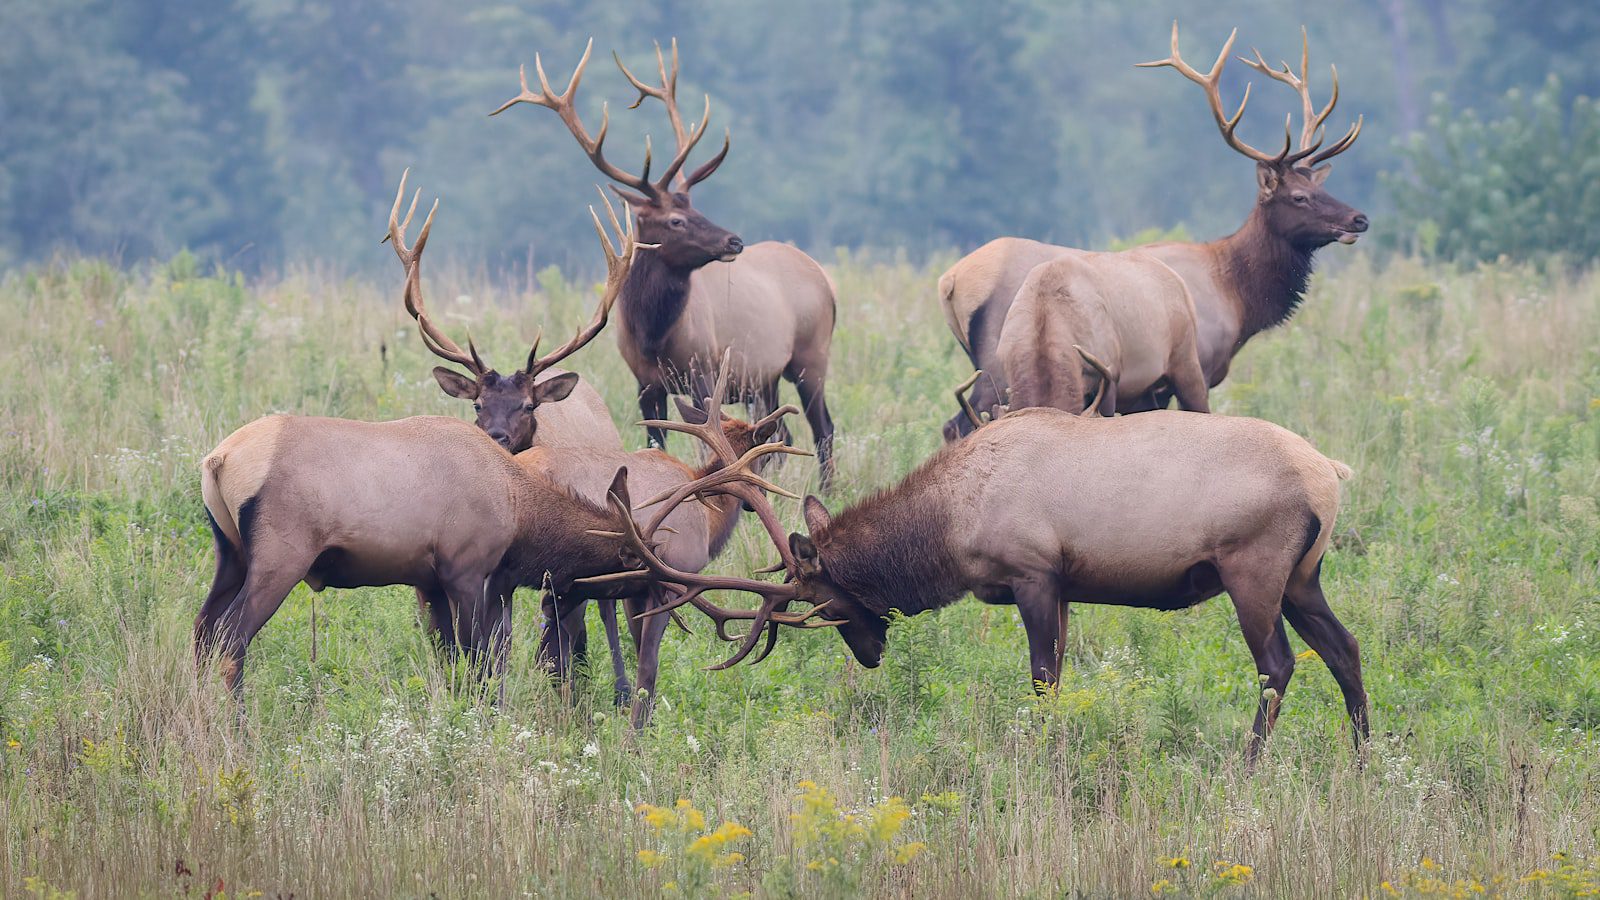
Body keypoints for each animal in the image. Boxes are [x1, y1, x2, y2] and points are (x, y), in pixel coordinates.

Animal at [489, 40, 844, 490]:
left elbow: (705, 441)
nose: (734, 240)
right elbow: (657, 440)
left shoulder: (705, 369)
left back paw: (829, 490)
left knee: (823, 428)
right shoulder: (645, 383)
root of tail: (825, 281)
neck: (654, 334)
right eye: (676, 219)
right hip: (765, 379)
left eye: (695, 206)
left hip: (812, 355)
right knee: (783, 433)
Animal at [595, 403, 1369, 752]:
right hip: (1304, 576)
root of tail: (1331, 474)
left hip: (1253, 568)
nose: (871, 654)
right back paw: (1363, 758)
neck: (950, 527)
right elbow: (1060, 672)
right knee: (1345, 650)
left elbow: (1042, 677)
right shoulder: (1064, 584)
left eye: (824, 601)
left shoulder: (1033, 571)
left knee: (1278, 665)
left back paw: (1247, 764)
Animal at [940, 24, 1369, 438]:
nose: (1359, 219)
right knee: (957, 422)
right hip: (994, 367)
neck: (1236, 295)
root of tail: (950, 281)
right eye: (1299, 197)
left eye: (1322, 187)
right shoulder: (1196, 366)